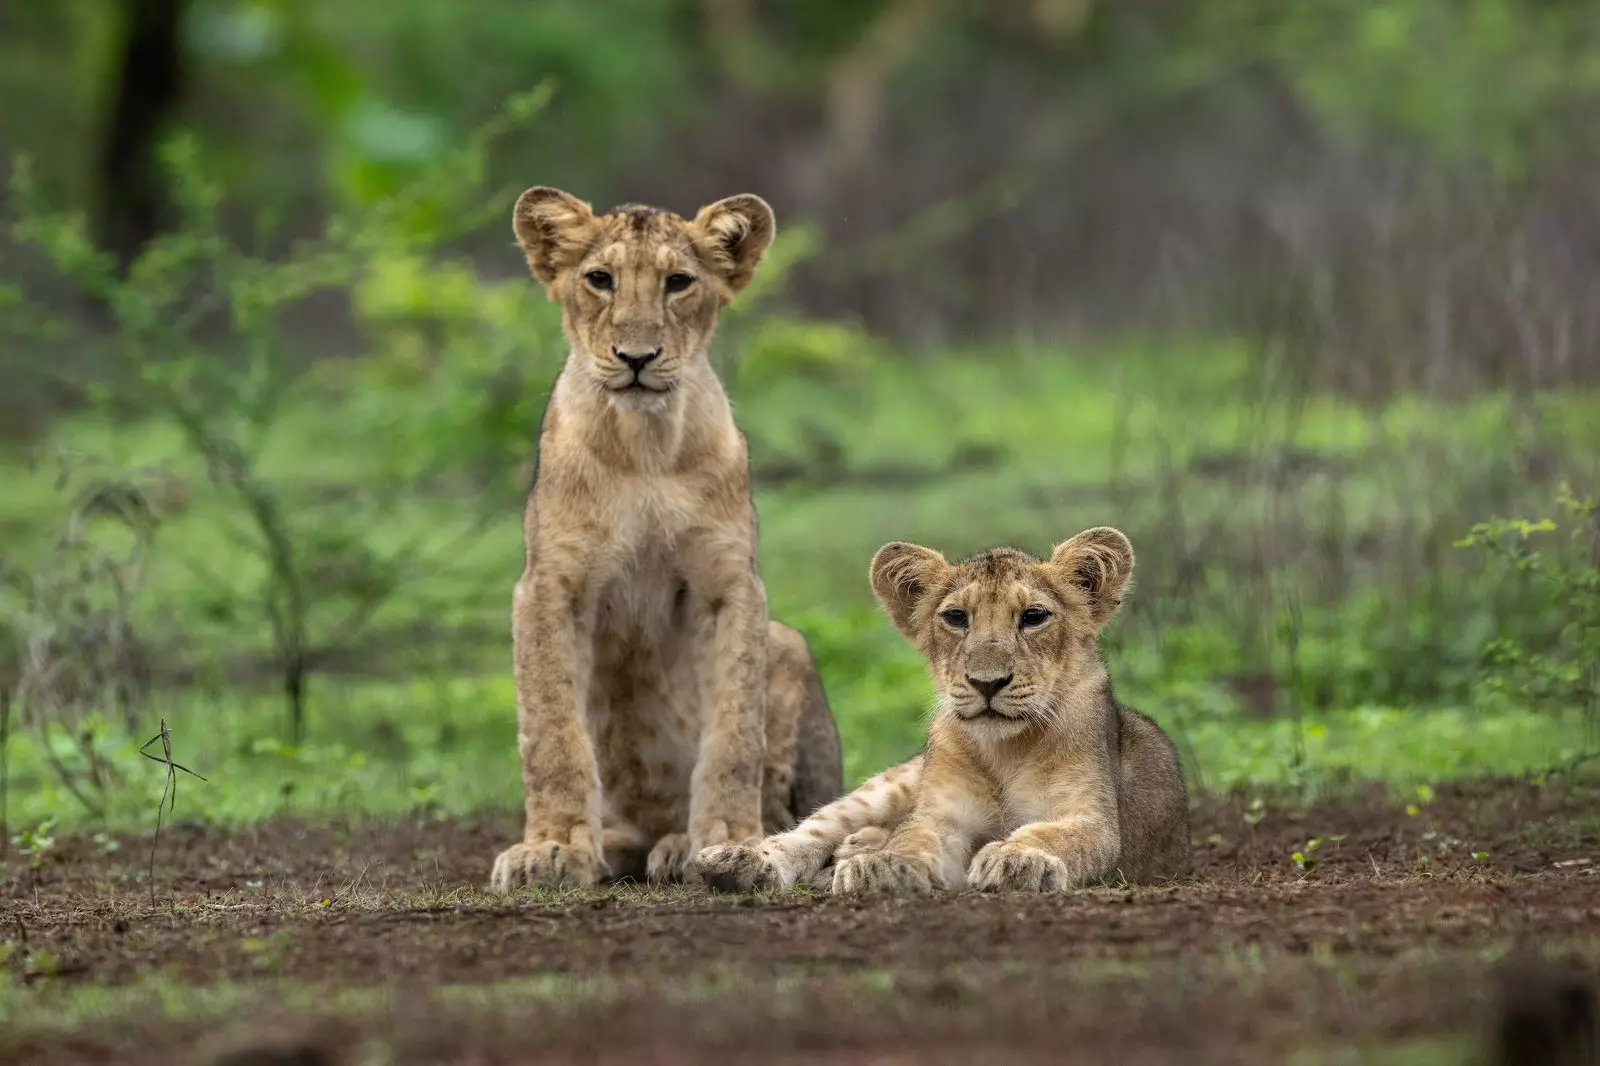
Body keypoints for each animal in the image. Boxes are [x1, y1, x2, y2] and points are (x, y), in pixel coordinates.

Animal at [488, 187, 843, 891]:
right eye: (600, 279)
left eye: (679, 283)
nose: (636, 358)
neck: (644, 446)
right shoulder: (548, 587)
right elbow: (552, 730)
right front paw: (552, 849)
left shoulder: (730, 586)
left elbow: (734, 734)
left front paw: (731, 842)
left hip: (789, 647)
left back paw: (683, 847)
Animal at [694, 526, 1190, 894]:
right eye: (956, 618)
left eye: (1033, 617)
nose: (986, 683)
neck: (1004, 751)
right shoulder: (942, 816)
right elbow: (914, 836)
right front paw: (883, 866)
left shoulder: (1093, 819)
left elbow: (1053, 834)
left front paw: (1017, 858)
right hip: (888, 786)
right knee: (811, 831)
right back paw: (739, 860)